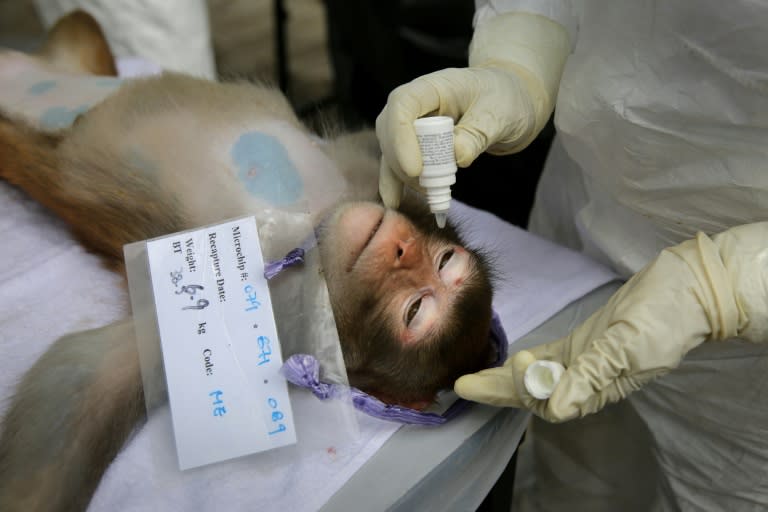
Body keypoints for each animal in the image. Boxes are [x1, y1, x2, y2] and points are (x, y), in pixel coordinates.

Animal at [0, 11, 496, 512]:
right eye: (443, 261)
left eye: (414, 310)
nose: (402, 247)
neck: (310, 233)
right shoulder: (359, 176)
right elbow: (378, 149)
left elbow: (79, 370)